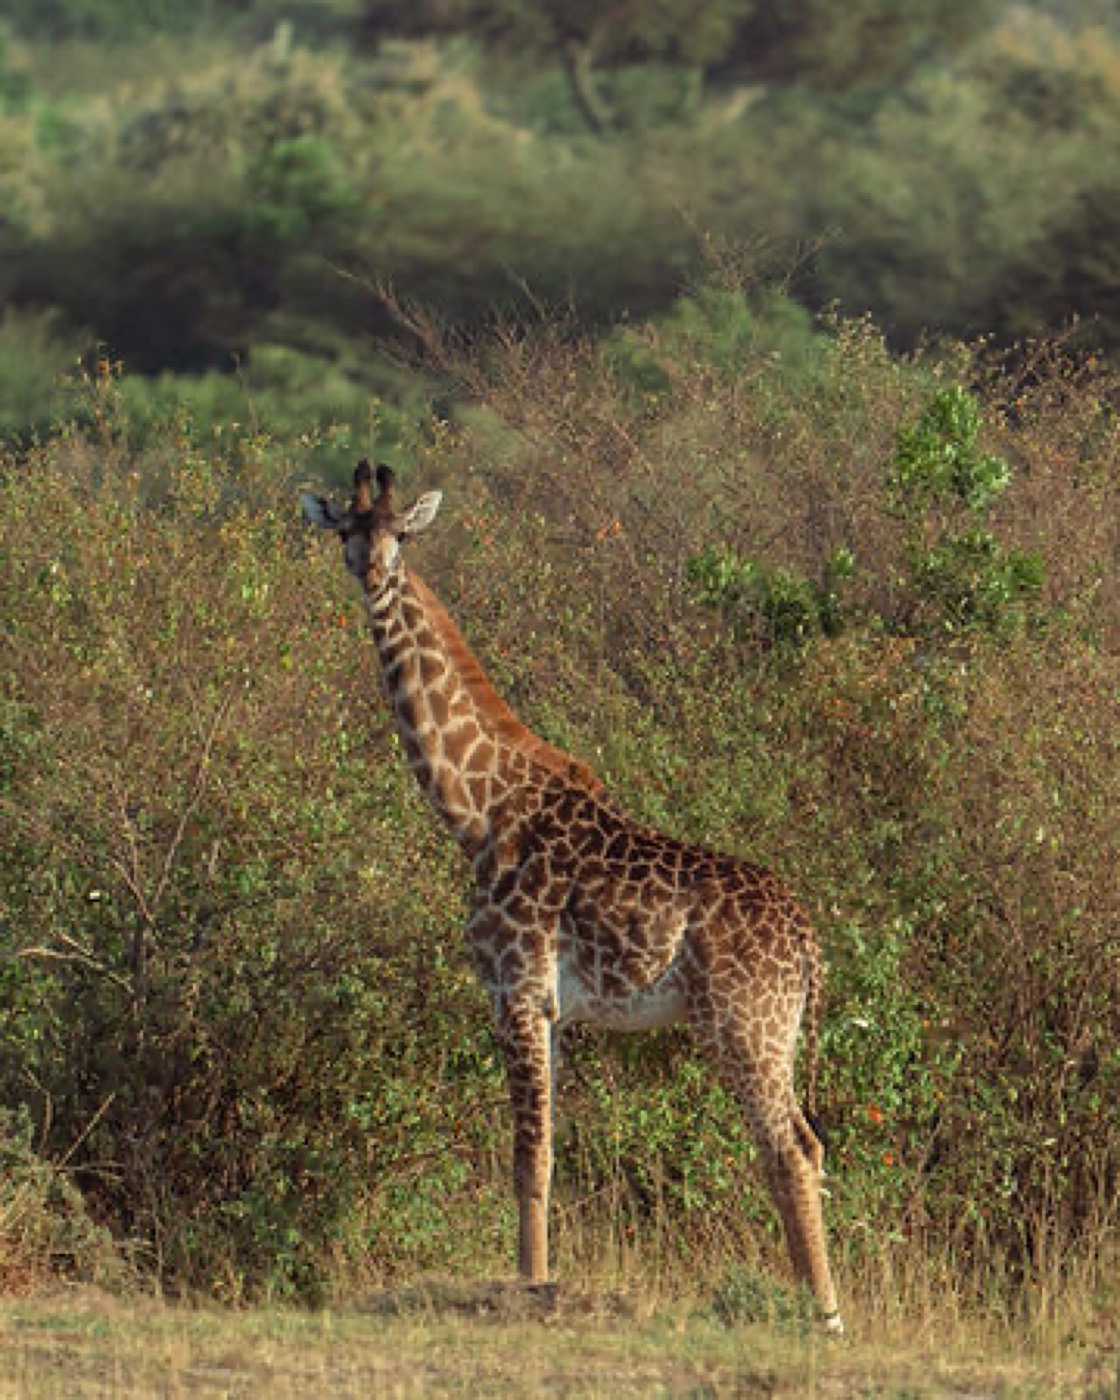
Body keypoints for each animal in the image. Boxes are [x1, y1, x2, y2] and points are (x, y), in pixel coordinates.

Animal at [300, 462, 843, 1333]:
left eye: (402, 534)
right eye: (344, 531)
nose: (372, 573)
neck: (478, 812)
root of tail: (807, 941)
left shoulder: (516, 990)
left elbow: (528, 1161)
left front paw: (529, 1293)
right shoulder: (551, 1011)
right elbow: (546, 1159)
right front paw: (535, 1284)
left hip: (740, 1027)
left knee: (786, 1149)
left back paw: (823, 1317)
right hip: (778, 1031)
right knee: (808, 1142)